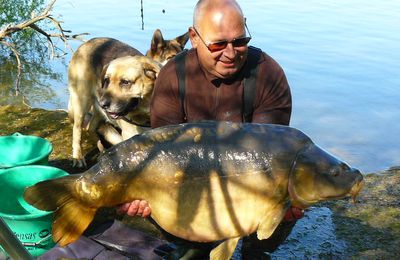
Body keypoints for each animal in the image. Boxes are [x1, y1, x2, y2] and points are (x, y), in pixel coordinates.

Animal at [68, 30, 189, 167]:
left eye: (125, 82)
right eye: (107, 80)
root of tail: (86, 43)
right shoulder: (130, 134)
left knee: (91, 127)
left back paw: (102, 150)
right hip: (82, 101)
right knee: (77, 129)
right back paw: (78, 156)